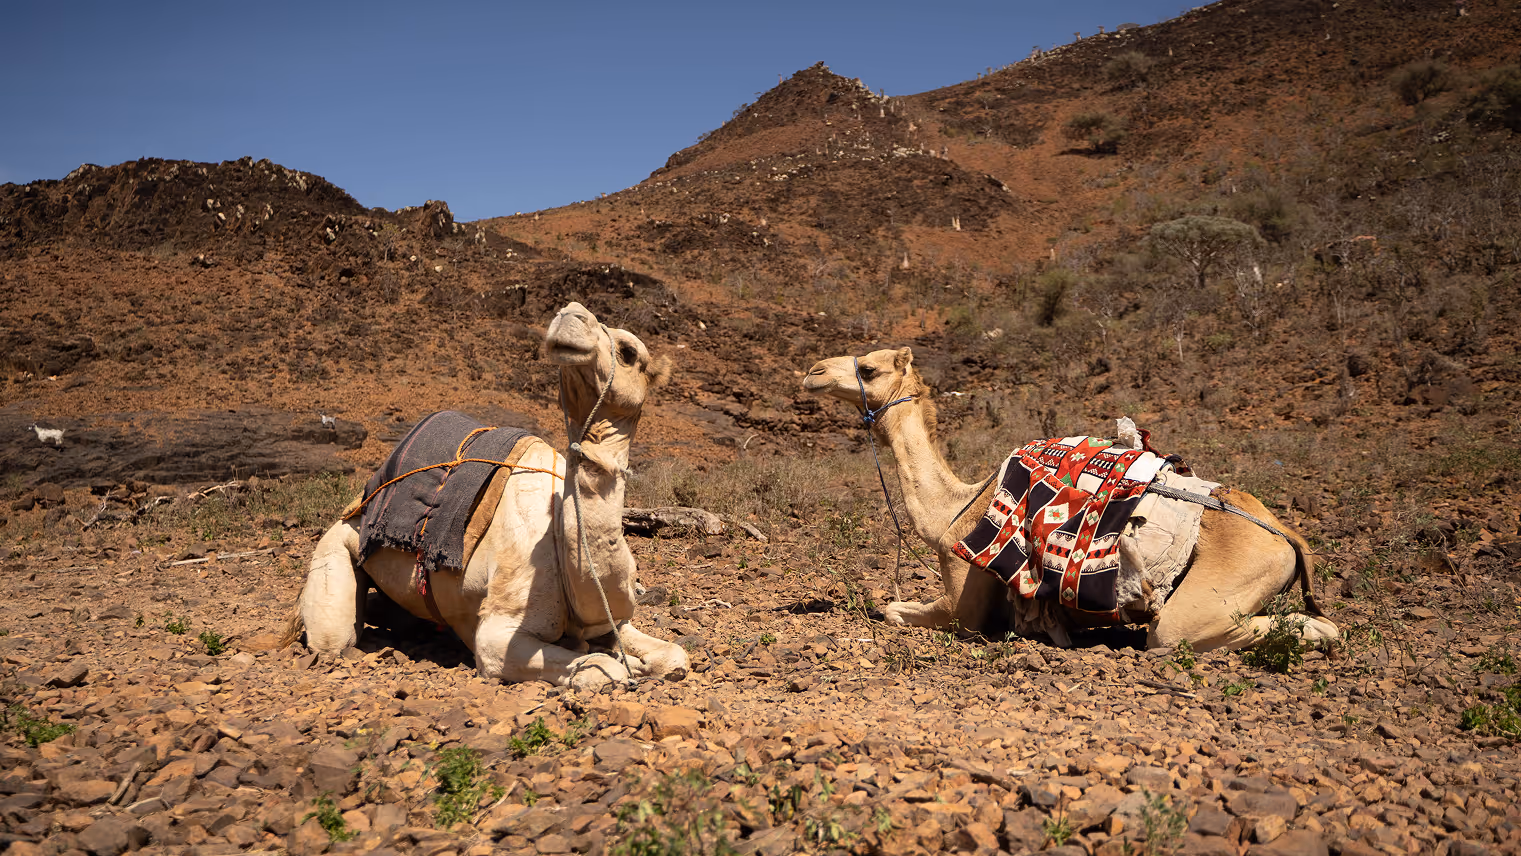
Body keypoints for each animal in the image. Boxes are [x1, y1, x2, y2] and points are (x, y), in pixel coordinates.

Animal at [284, 302, 688, 690]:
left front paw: (641, 660)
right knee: (334, 639)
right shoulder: (500, 632)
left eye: (629, 352)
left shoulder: (610, 621)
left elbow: (675, 655)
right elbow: (603, 668)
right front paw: (622, 664)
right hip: (337, 544)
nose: (569, 315)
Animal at [802, 347, 1338, 653]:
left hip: (1227, 582)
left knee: (1179, 632)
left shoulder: (965, 598)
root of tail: (1286, 534)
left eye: (868, 368)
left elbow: (897, 610)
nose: (812, 372)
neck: (954, 511)